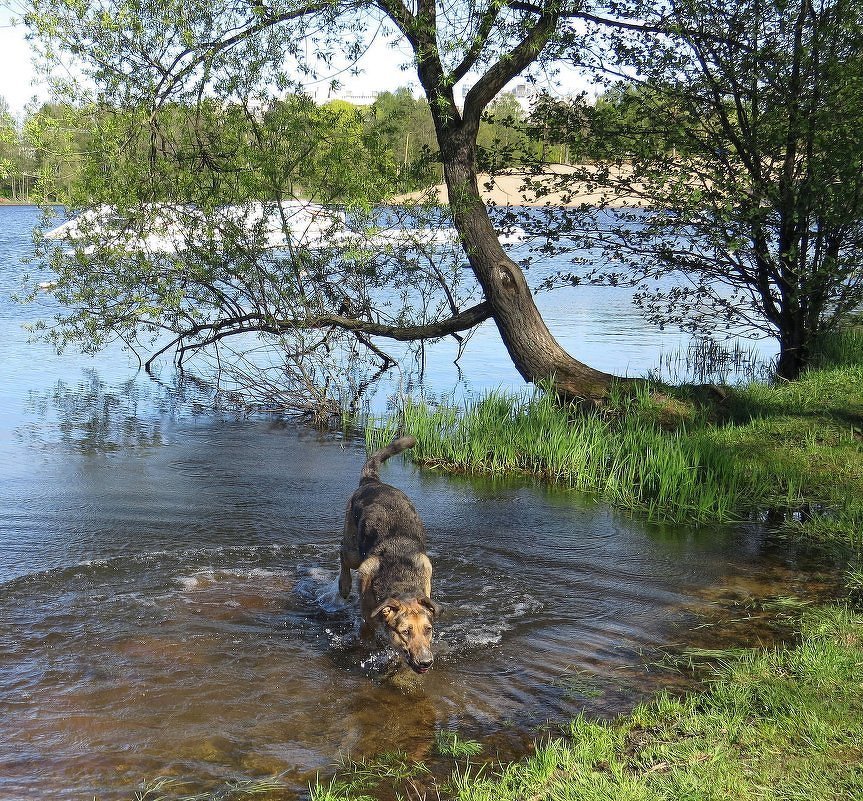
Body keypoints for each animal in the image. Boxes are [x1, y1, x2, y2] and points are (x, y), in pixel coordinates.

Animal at [340, 434, 442, 672]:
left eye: (428, 630)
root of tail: (372, 482)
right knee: (343, 555)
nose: (426, 662)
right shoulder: (368, 621)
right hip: (354, 551)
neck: (401, 582)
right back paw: (344, 585)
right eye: (405, 632)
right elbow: (367, 641)